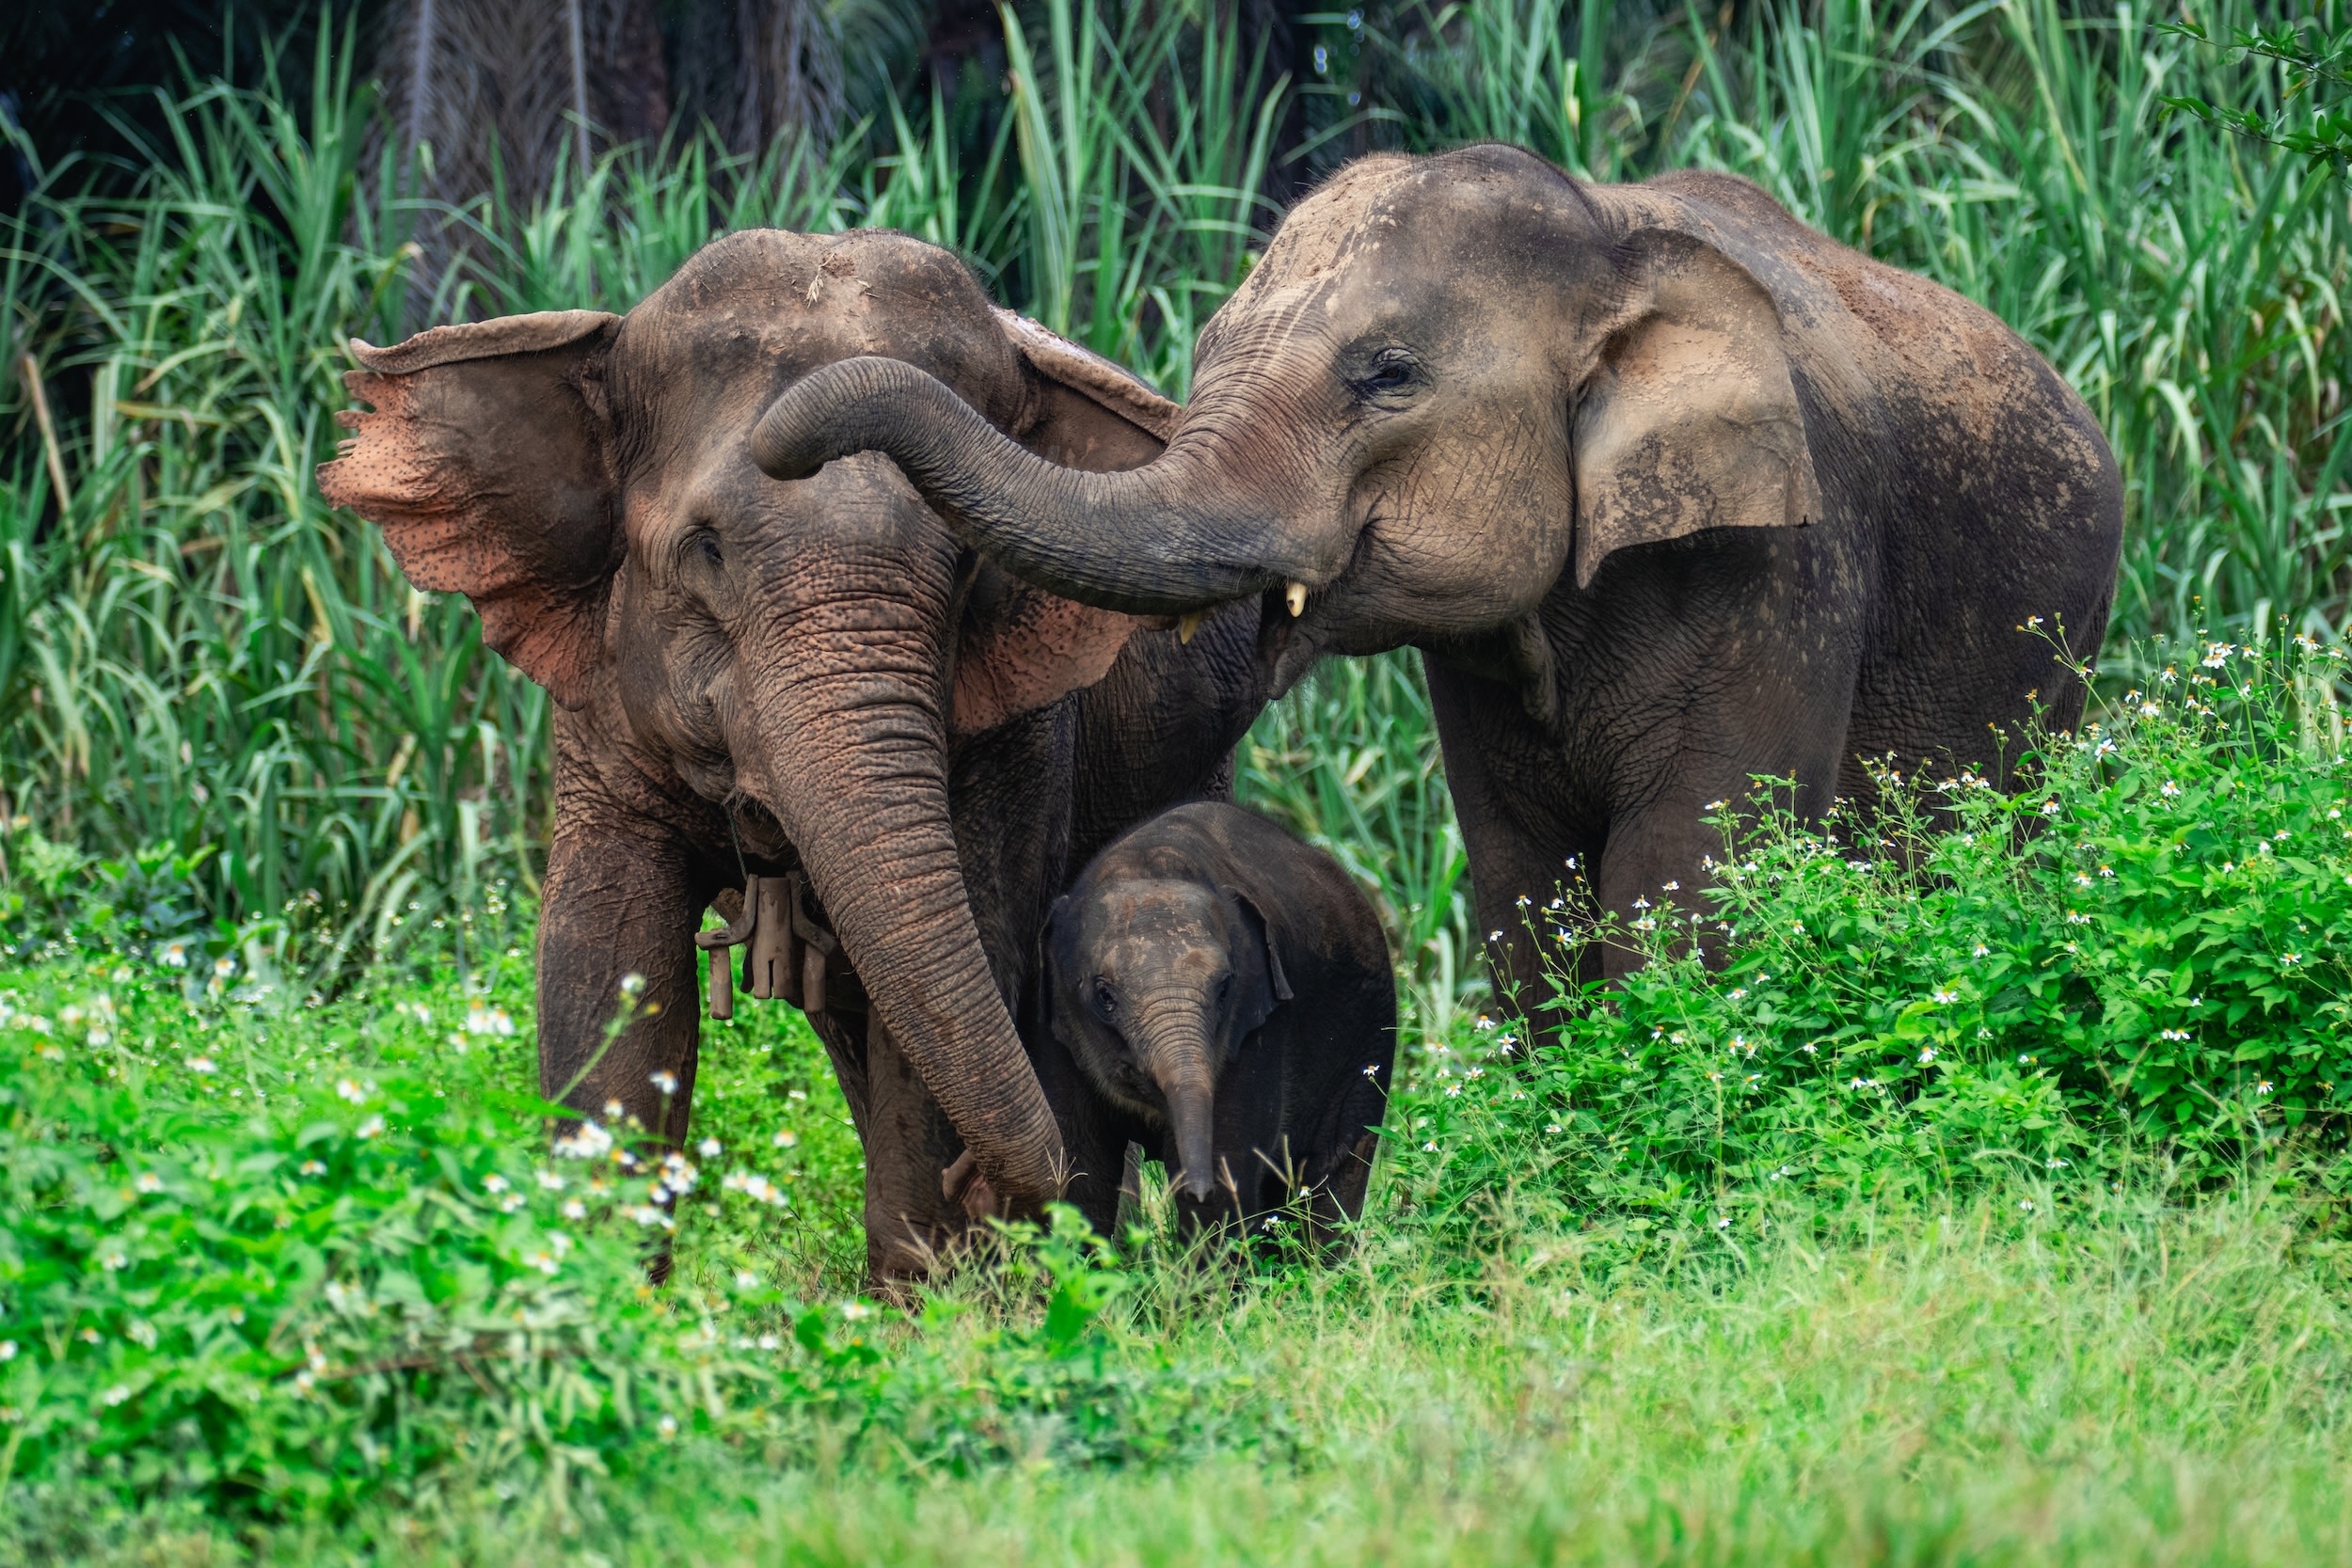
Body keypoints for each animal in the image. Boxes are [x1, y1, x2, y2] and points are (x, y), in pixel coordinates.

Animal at [315, 230, 1268, 1281]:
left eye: (972, 563)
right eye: (706, 549)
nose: (987, 1192)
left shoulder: (1022, 723)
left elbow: (978, 943)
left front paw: (932, 1300)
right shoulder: (600, 704)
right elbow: (605, 954)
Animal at [746, 147, 2125, 991]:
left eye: (1387, 375)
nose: (774, 444)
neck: (1608, 237)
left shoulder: (1783, 563)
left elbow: (1684, 877)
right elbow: (1525, 886)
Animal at [1042, 801, 1394, 1232]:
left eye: (1225, 989)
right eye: (1104, 995)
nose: (1197, 1188)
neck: (1147, 863)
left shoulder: (1259, 1031)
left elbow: (1231, 1162)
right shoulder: (1056, 1025)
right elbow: (1081, 1169)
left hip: (1371, 1031)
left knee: (1333, 1173)